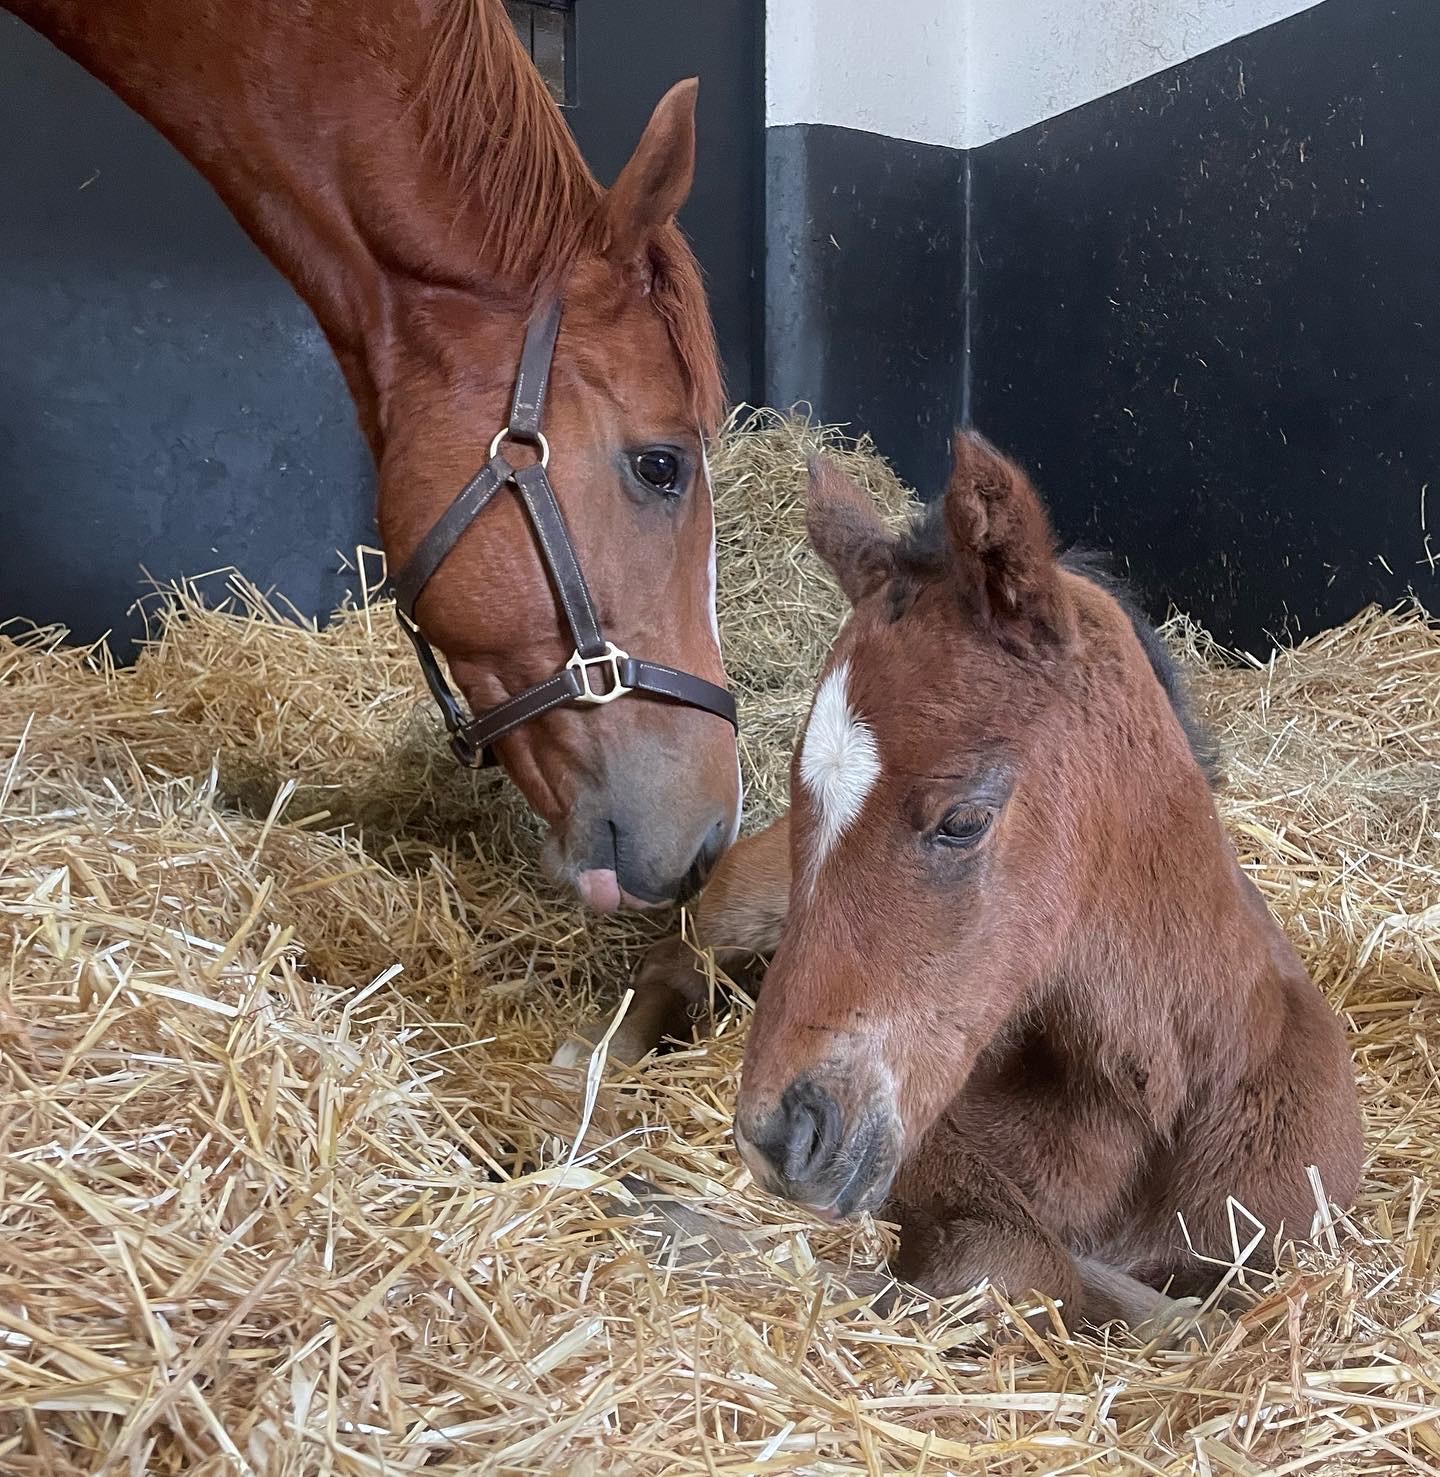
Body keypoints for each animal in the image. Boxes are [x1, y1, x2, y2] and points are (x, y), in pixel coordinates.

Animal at [564, 434, 1364, 1329]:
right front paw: (666, 1214)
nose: (776, 1138)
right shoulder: (927, 1165)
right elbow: (1015, 1261)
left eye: (963, 820)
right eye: (804, 794)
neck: (1155, 1093)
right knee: (671, 965)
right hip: (745, 900)